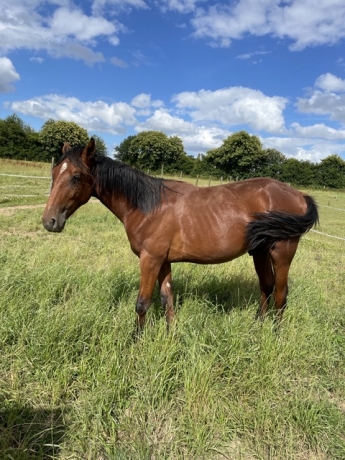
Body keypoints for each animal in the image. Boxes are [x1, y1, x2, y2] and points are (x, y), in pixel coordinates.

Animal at [41, 138, 318, 328]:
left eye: (76, 176)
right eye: (54, 173)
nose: (49, 221)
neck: (148, 206)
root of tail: (297, 194)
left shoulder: (150, 259)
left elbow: (142, 303)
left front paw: (135, 342)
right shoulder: (163, 261)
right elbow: (167, 299)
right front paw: (170, 334)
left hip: (281, 254)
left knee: (281, 294)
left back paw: (275, 333)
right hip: (259, 252)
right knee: (266, 287)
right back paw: (257, 325)